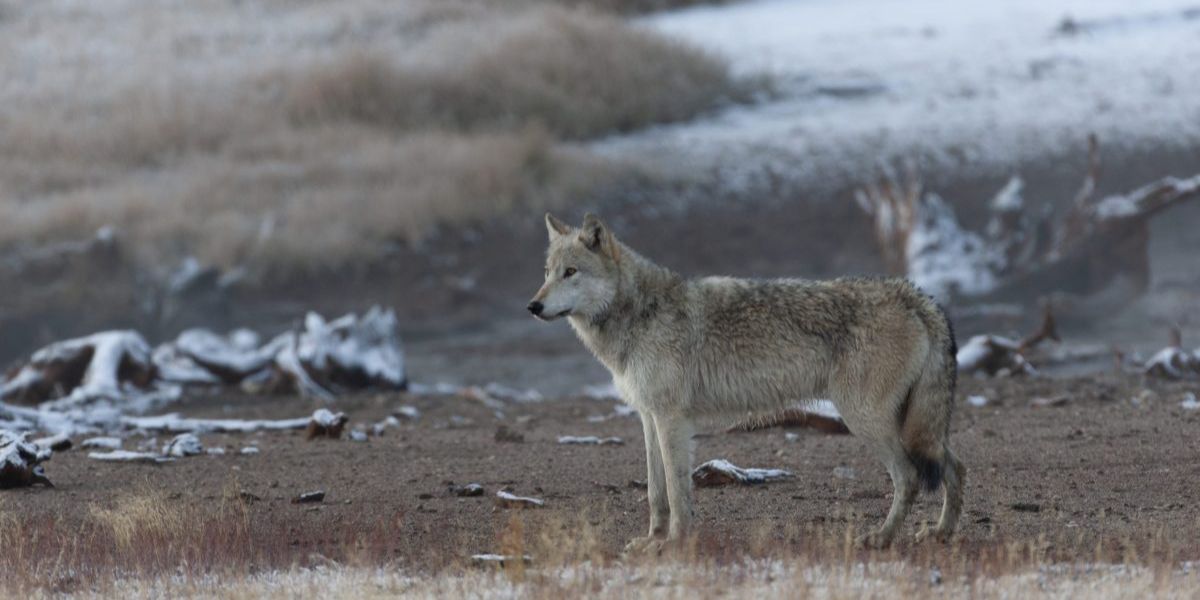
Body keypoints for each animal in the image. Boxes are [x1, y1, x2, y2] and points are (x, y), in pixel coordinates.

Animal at [525, 213, 964, 549]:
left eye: (570, 272)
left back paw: (882, 538)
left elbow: (677, 493)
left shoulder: (672, 421)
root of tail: (915, 295)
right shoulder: (649, 418)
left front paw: (673, 543)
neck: (638, 314)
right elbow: (655, 492)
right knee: (955, 467)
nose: (533, 305)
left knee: (909, 477)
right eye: (546, 273)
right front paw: (653, 539)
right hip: (909, 427)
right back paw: (941, 533)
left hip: (866, 421)